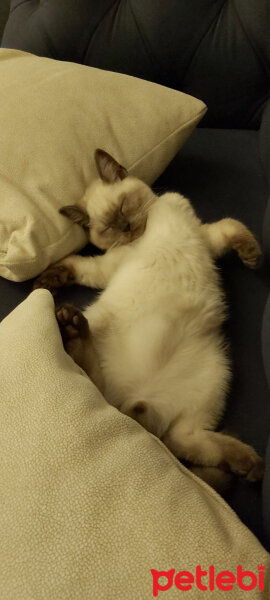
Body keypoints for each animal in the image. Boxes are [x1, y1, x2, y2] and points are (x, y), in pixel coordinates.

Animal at [33, 150, 264, 488]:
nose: (127, 227)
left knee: (180, 440)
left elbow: (233, 226)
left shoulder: (205, 236)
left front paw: (252, 257)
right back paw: (72, 327)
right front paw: (47, 281)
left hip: (217, 374)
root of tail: (137, 397)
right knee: (93, 378)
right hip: (102, 328)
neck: (149, 227)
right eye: (109, 227)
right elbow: (77, 265)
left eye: (123, 207)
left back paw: (248, 464)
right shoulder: (107, 268)